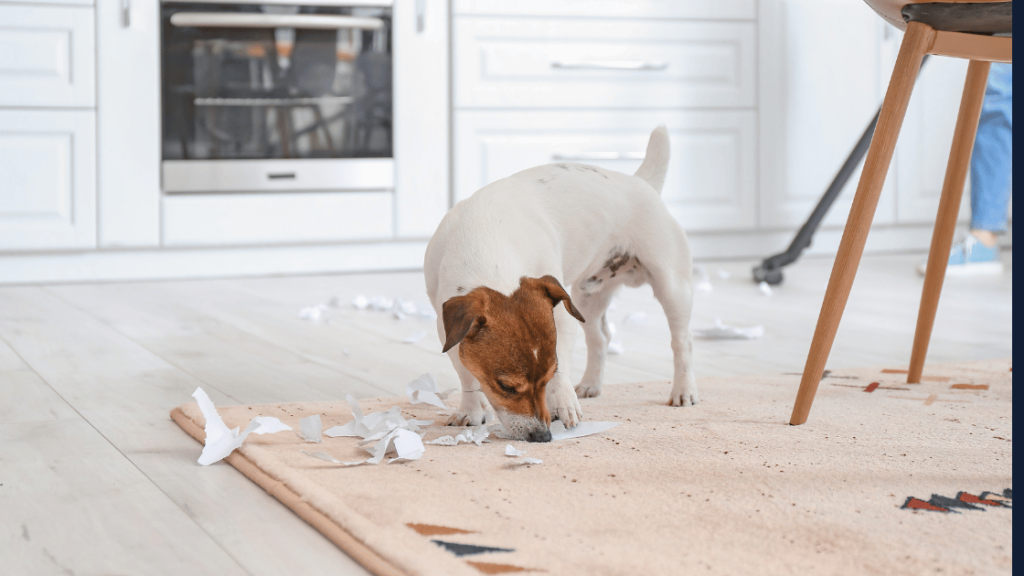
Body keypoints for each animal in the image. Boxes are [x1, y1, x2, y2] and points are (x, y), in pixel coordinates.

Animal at [421, 125, 696, 438]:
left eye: (548, 375)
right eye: (505, 386)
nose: (541, 435)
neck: (485, 240)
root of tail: (641, 181)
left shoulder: (561, 318)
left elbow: (562, 364)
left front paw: (563, 402)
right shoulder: (448, 331)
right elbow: (466, 375)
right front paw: (471, 410)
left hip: (671, 286)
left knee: (682, 342)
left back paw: (683, 391)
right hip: (586, 298)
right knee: (600, 339)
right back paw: (591, 384)